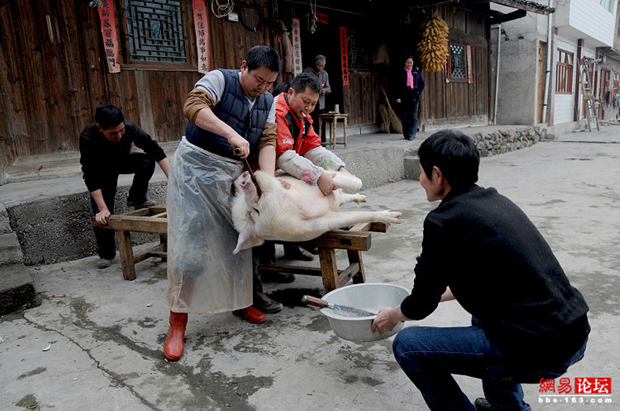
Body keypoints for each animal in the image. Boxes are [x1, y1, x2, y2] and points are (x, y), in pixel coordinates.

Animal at [231, 169, 402, 254]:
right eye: (254, 212)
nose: (242, 179)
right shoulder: (314, 225)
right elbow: (351, 216)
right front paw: (396, 217)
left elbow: (354, 182)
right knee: (342, 199)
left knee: (346, 192)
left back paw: (362, 198)